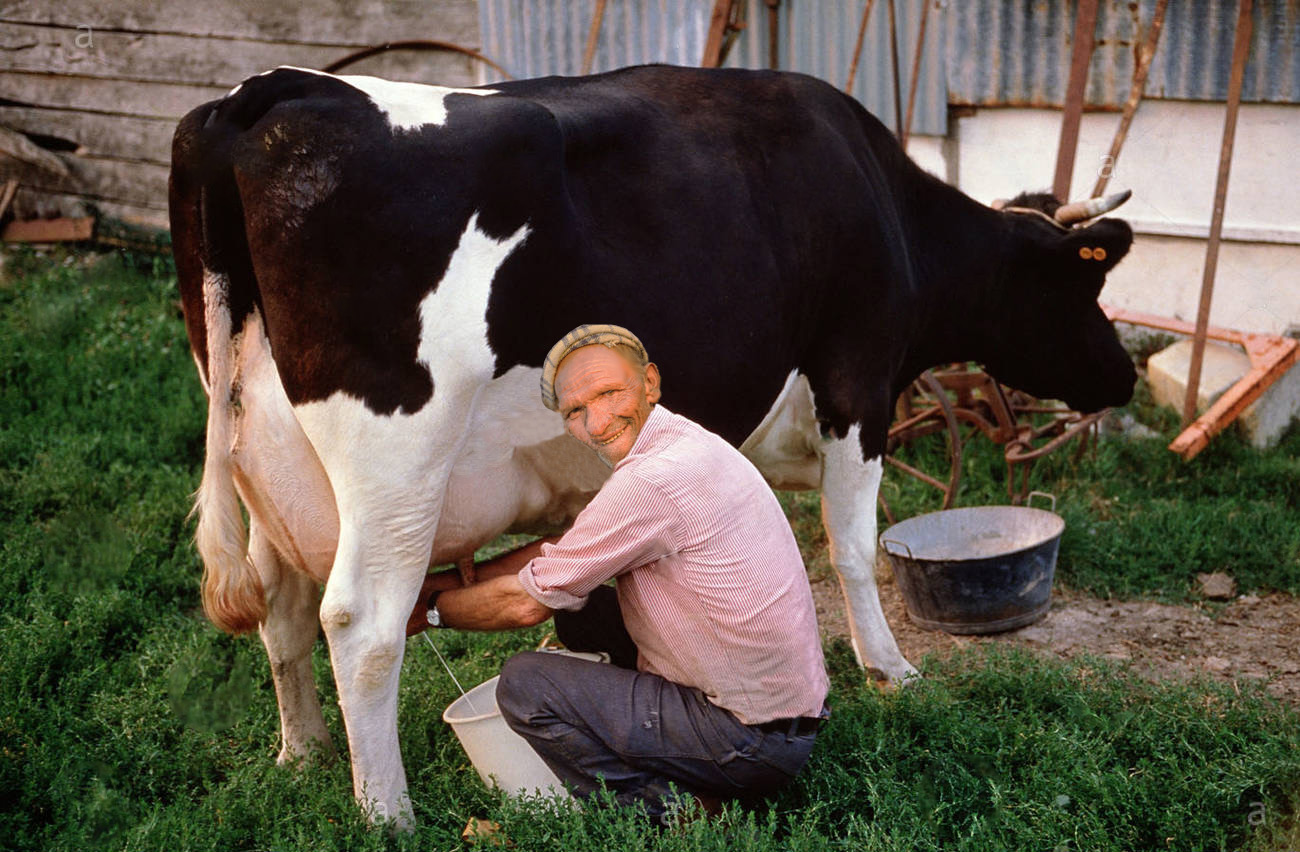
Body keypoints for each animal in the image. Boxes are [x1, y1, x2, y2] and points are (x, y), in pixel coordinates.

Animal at [170, 63, 1138, 832]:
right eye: (1082, 283)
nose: (1125, 375)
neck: (881, 198)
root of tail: (267, 94)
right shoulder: (857, 379)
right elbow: (854, 546)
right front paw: (891, 669)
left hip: (263, 462)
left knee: (282, 607)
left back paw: (303, 754)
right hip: (396, 460)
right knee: (361, 623)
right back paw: (390, 815)